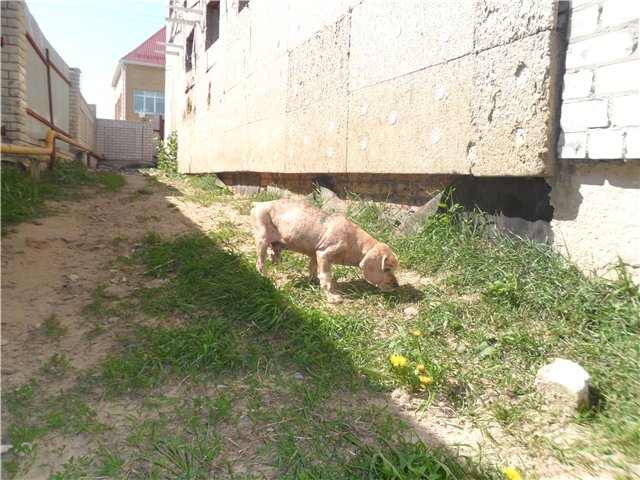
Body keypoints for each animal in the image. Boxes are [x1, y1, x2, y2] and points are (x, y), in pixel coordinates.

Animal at [250, 199, 399, 303]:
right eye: (386, 269)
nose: (396, 285)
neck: (355, 242)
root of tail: (258, 204)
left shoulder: (315, 254)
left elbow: (314, 270)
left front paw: (314, 281)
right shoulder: (324, 255)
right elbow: (326, 279)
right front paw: (332, 297)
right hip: (262, 239)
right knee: (260, 263)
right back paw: (268, 279)